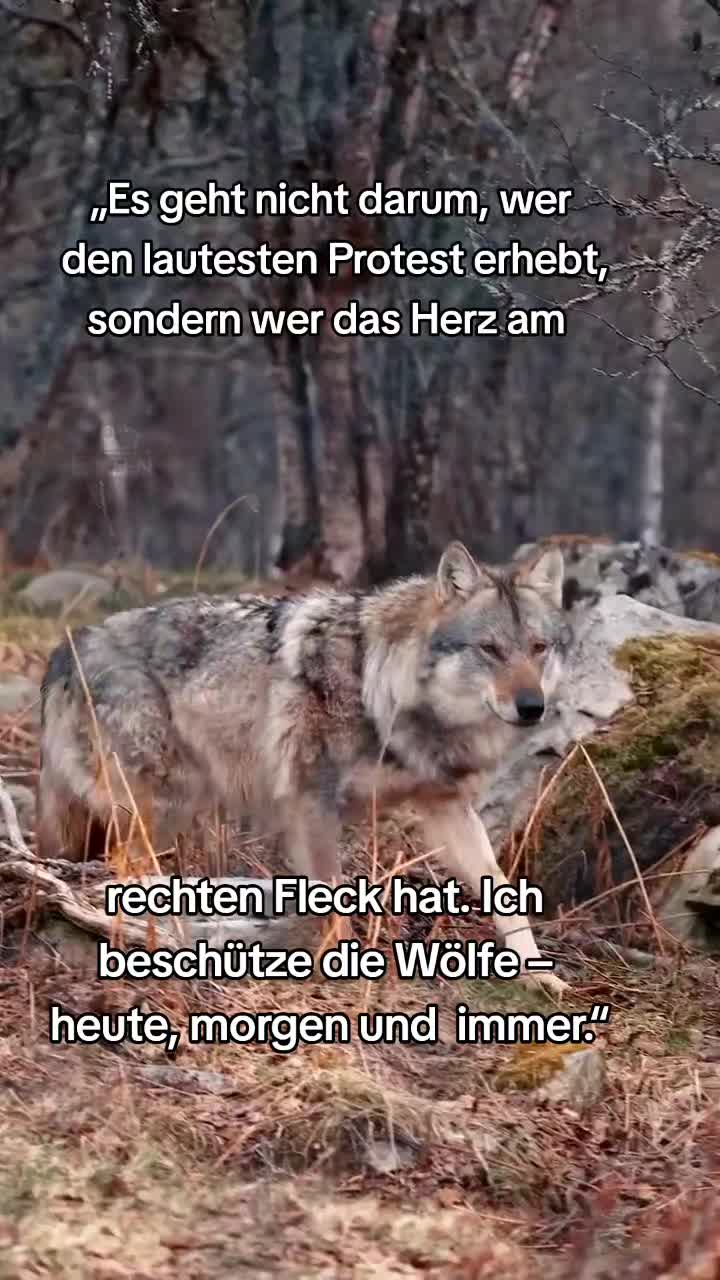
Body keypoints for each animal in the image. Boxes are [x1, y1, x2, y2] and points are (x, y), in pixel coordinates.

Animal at [37, 542, 572, 990]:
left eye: (538, 648)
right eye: (490, 650)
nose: (532, 707)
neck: (380, 687)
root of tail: (68, 646)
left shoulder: (446, 809)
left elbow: (504, 894)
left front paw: (541, 977)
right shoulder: (311, 801)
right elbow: (333, 897)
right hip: (167, 802)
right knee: (125, 866)